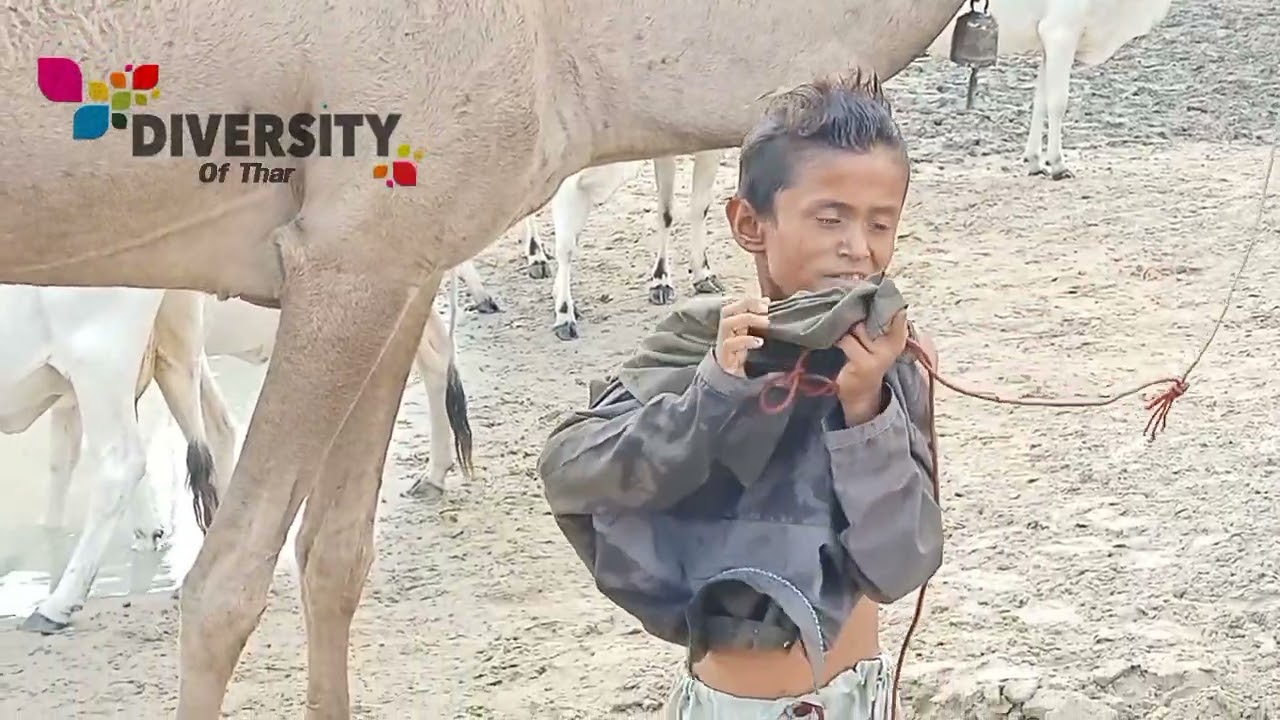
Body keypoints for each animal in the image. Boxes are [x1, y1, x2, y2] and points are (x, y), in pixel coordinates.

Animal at [3, 1, 969, 715]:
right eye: (835, 216)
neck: (562, 44)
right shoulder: (348, 247)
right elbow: (224, 587)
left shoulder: (397, 259)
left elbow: (335, 558)